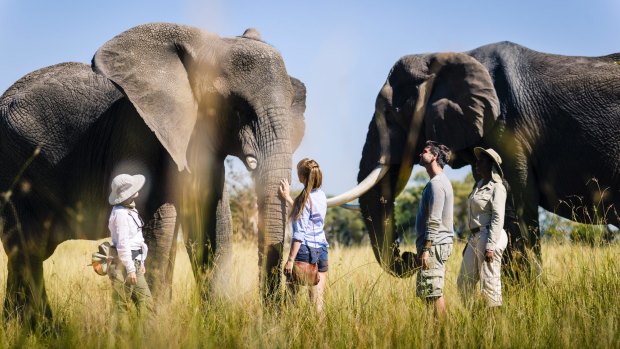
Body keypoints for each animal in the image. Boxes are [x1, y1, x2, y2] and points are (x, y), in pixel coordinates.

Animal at [0, 22, 306, 324]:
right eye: (236, 107)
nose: (274, 319)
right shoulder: (141, 133)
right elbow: (160, 224)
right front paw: (155, 326)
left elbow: (214, 224)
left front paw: (215, 325)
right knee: (27, 251)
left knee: (28, 254)